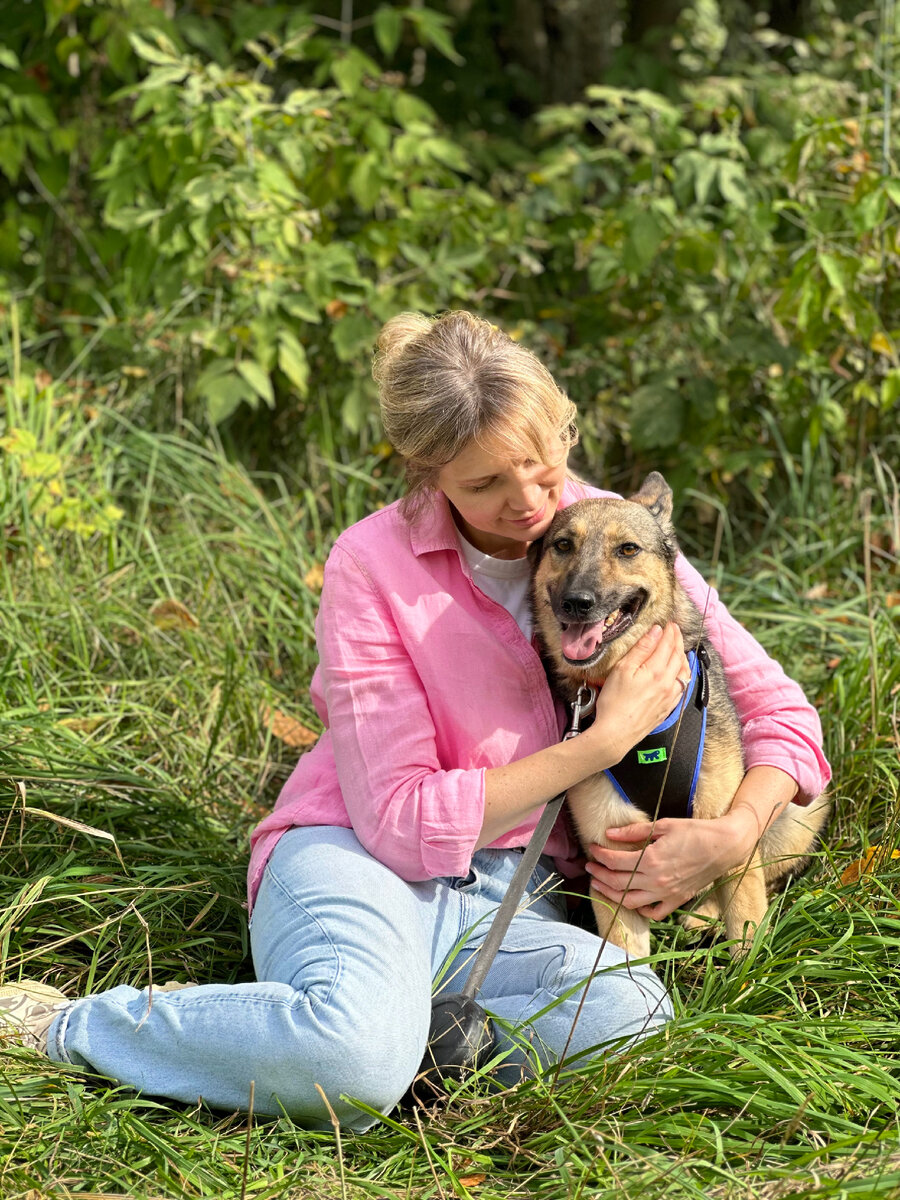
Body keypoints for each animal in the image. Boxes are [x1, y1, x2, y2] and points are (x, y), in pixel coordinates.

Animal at [528, 470, 830, 955]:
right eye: (562, 545)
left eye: (628, 549)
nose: (578, 601)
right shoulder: (612, 867)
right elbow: (624, 961)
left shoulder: (727, 836)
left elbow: (745, 929)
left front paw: (741, 969)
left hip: (800, 811)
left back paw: (701, 916)